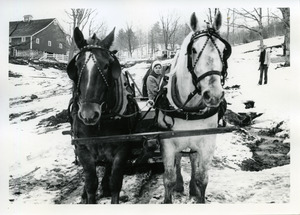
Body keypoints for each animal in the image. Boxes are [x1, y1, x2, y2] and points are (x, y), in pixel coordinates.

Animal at [67, 26, 139, 203]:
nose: (89, 114)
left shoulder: (122, 148)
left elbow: (115, 182)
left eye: (107, 66)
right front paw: (88, 194)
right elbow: (91, 183)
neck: (101, 122)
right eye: (77, 66)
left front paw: (109, 189)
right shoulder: (83, 149)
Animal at [158, 11, 231, 203]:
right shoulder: (167, 143)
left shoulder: (207, 142)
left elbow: (202, 178)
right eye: (193, 50)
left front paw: (198, 193)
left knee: (192, 158)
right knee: (179, 159)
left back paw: (191, 187)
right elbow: (168, 178)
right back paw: (180, 184)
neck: (189, 109)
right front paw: (171, 193)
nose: (213, 95)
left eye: (224, 50)